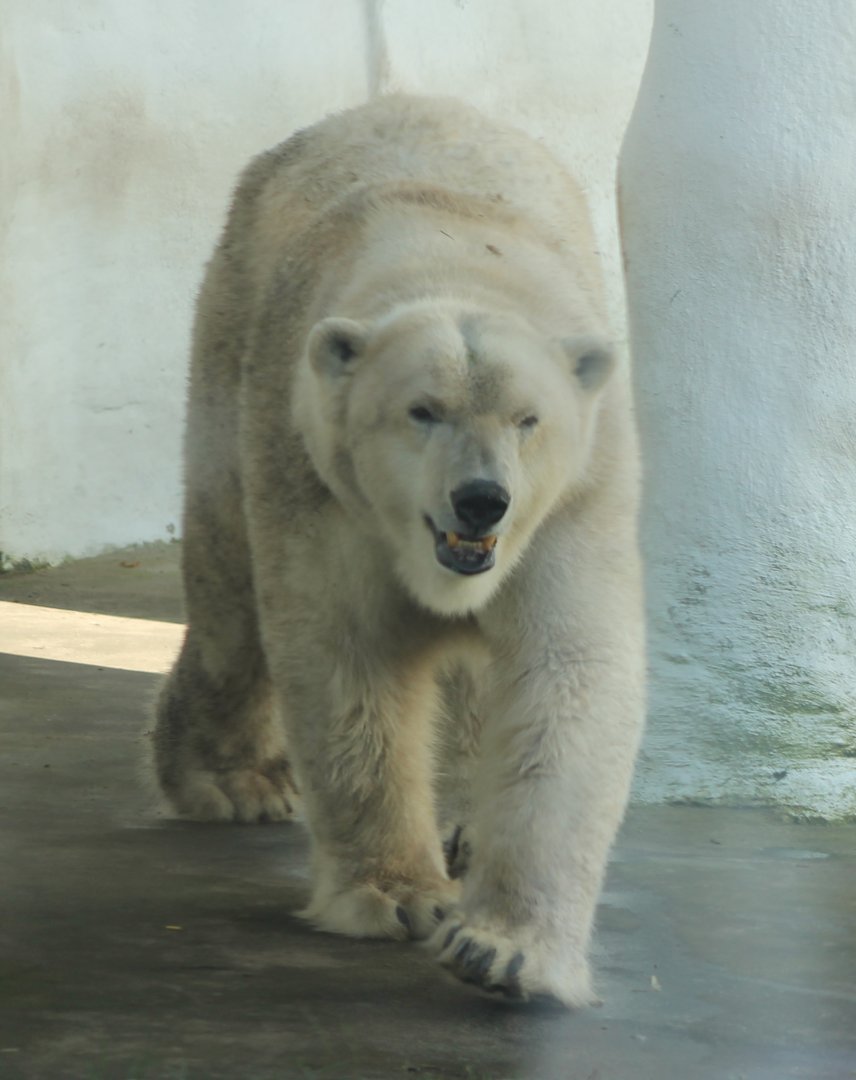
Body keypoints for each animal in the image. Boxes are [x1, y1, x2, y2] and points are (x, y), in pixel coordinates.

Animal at [154, 94, 646, 1008]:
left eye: (528, 420)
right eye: (423, 411)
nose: (481, 499)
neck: (460, 258)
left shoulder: (575, 500)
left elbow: (565, 671)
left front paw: (502, 948)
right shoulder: (316, 477)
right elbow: (347, 659)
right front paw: (402, 895)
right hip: (230, 346)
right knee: (231, 601)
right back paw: (231, 780)